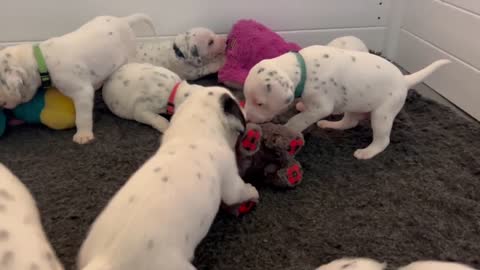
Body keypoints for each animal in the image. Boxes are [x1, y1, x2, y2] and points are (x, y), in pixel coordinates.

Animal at [0, 13, 156, 143]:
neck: (40, 59)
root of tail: (123, 20)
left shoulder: (82, 91)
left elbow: (82, 116)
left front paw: (83, 135)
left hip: (129, 54)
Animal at [78, 86, 258, 270]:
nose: (244, 106)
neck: (195, 128)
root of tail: (105, 260)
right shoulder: (231, 182)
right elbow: (239, 192)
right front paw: (253, 191)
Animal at [244, 45, 450, 159]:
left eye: (260, 103)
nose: (247, 119)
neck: (304, 70)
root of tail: (404, 80)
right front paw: (301, 106)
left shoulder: (321, 106)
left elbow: (299, 119)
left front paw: (286, 130)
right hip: (354, 104)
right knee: (349, 122)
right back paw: (330, 125)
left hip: (383, 114)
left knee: (383, 139)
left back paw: (367, 152)